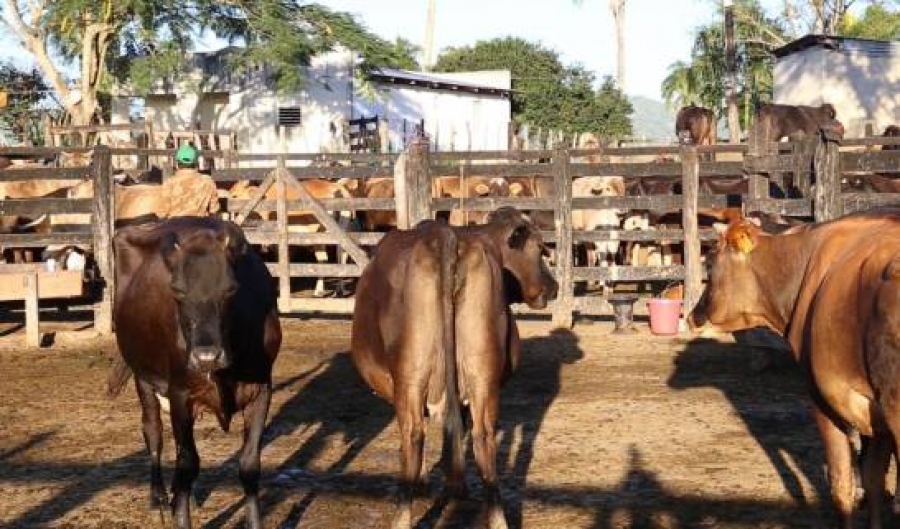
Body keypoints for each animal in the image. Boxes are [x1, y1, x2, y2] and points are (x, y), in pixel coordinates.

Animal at [107, 217, 281, 529]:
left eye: (230, 289)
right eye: (177, 290)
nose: (206, 356)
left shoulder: (262, 388)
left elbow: (249, 464)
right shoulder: (179, 394)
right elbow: (187, 463)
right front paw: (180, 512)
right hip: (143, 377)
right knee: (153, 432)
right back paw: (160, 496)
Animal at [351, 207, 558, 529]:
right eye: (539, 249)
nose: (554, 286)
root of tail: (447, 236)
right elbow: (456, 431)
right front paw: (456, 486)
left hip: (411, 378)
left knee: (413, 433)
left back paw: (402, 516)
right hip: (481, 375)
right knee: (483, 436)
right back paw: (495, 517)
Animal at [688, 209, 900, 529]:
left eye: (710, 265)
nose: (691, 317)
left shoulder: (823, 399)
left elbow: (842, 486)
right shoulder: (873, 418)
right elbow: (874, 482)